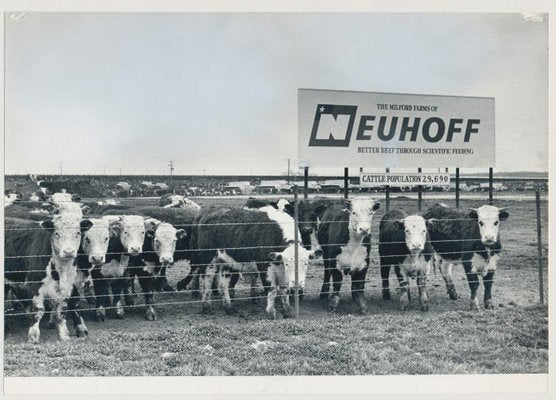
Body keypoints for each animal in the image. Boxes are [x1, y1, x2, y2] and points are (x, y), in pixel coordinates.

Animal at [4, 214, 92, 342]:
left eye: (78, 233)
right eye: (56, 233)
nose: (68, 251)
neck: (60, 271)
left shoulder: (66, 288)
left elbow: (61, 312)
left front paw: (63, 336)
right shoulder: (37, 287)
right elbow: (38, 311)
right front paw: (33, 336)